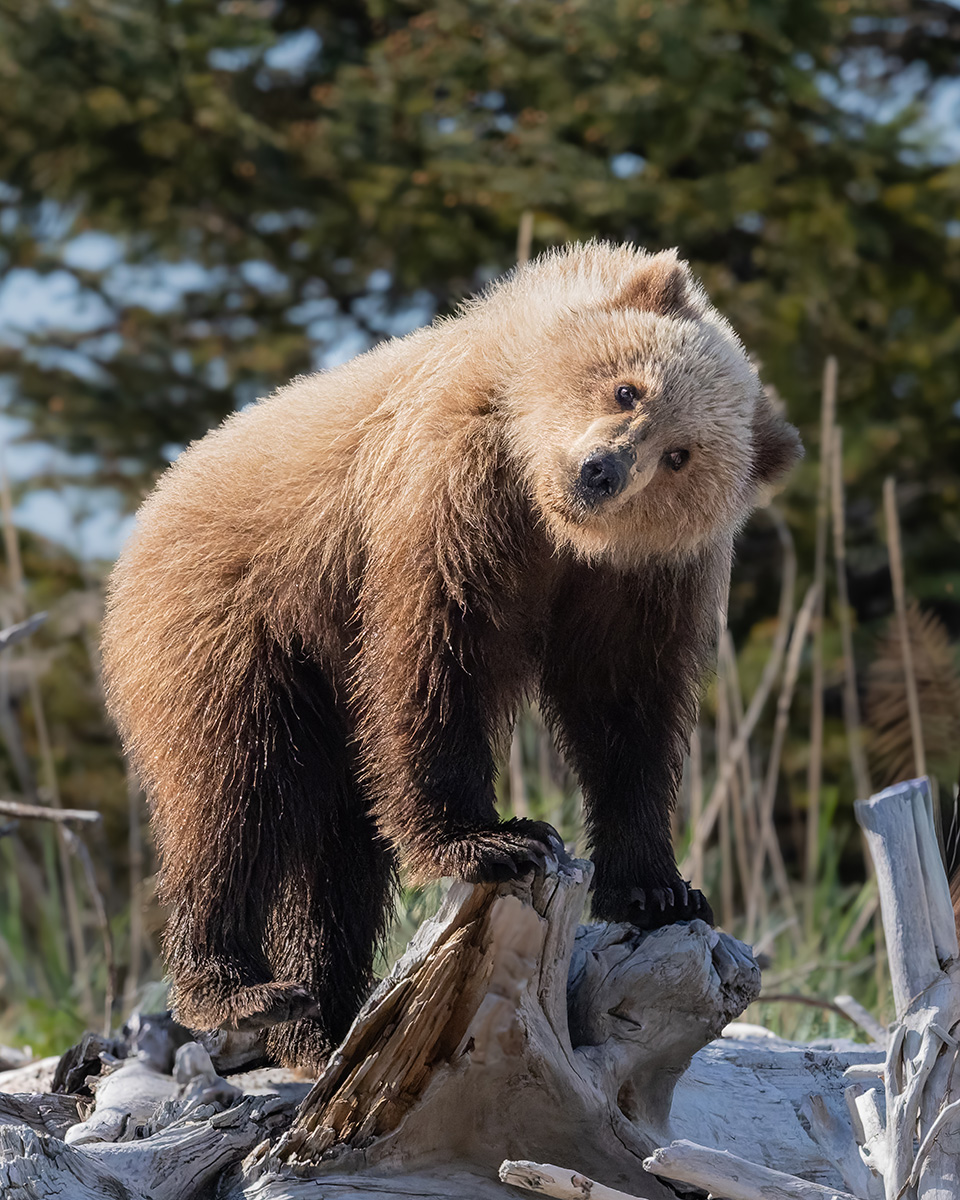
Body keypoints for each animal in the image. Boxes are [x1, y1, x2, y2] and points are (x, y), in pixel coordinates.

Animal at [101, 242, 801, 1072]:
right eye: (628, 386)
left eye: (680, 455)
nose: (600, 471)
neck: (546, 520)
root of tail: (159, 496)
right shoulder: (449, 499)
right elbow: (439, 662)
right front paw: (495, 840)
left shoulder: (640, 583)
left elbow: (624, 712)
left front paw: (660, 889)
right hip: (238, 626)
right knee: (236, 790)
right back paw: (242, 989)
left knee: (336, 850)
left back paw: (320, 1017)